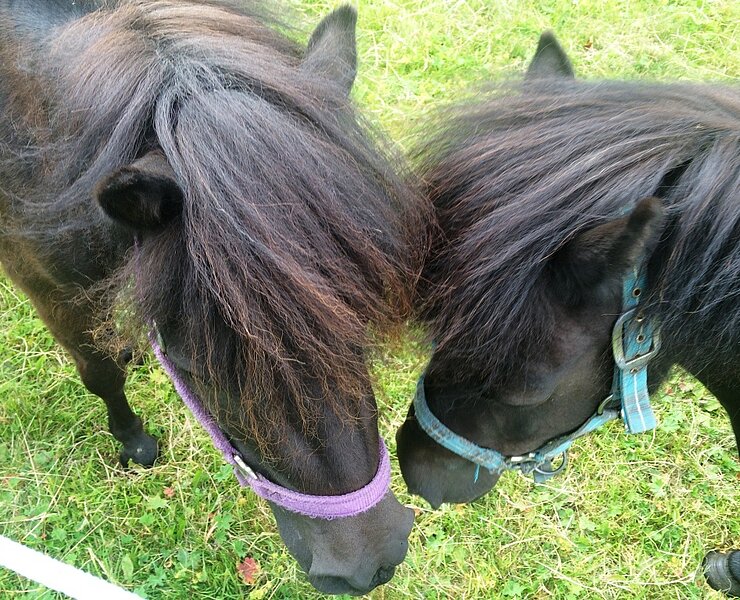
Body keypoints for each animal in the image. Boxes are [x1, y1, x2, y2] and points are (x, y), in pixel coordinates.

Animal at [0, 1, 430, 595]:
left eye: (360, 322)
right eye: (199, 367)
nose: (370, 564)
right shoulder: (52, 293)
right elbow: (102, 374)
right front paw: (134, 442)